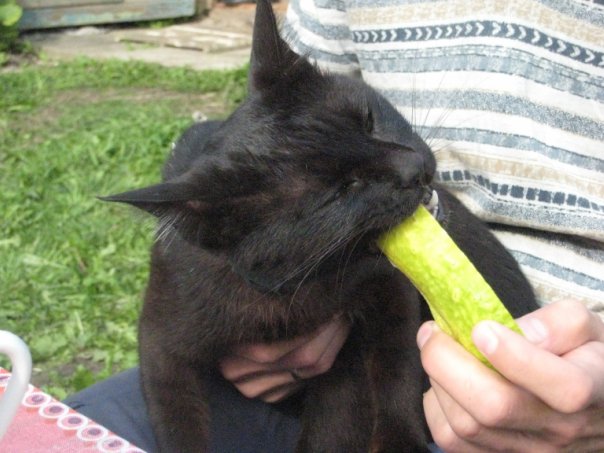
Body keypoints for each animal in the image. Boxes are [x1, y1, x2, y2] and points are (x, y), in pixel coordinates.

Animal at [103, 1, 538, 451]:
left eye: (368, 119)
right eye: (341, 190)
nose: (414, 168)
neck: (295, 289)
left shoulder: (390, 294)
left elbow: (396, 371)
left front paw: (401, 441)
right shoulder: (163, 341)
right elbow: (176, 424)